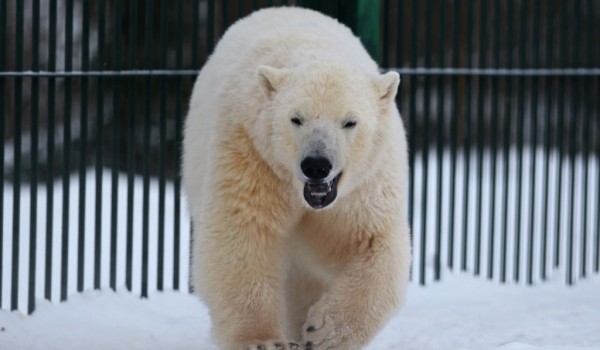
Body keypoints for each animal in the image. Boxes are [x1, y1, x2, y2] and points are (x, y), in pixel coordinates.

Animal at [180, 6, 410, 350]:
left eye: (350, 122)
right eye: (296, 118)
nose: (316, 165)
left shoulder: (367, 182)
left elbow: (372, 242)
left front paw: (324, 332)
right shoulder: (251, 153)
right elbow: (243, 234)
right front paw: (260, 340)